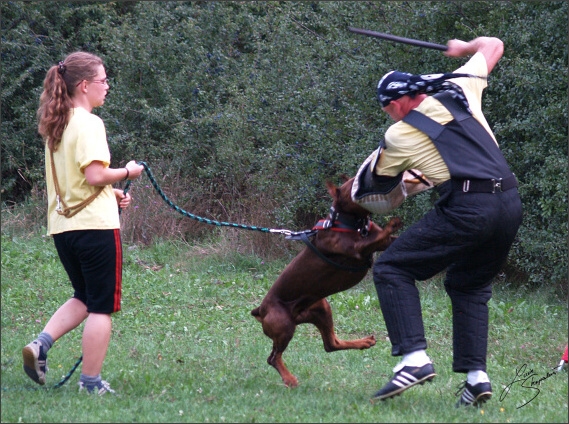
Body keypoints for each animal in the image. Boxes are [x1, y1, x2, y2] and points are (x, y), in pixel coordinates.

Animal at [251, 176, 402, 388]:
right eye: (353, 182)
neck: (353, 222)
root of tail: (260, 310)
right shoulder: (356, 247)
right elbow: (375, 238)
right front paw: (393, 223)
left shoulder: (383, 242)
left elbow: (389, 238)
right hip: (284, 325)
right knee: (273, 357)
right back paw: (289, 378)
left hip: (321, 309)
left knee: (331, 344)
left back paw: (363, 342)